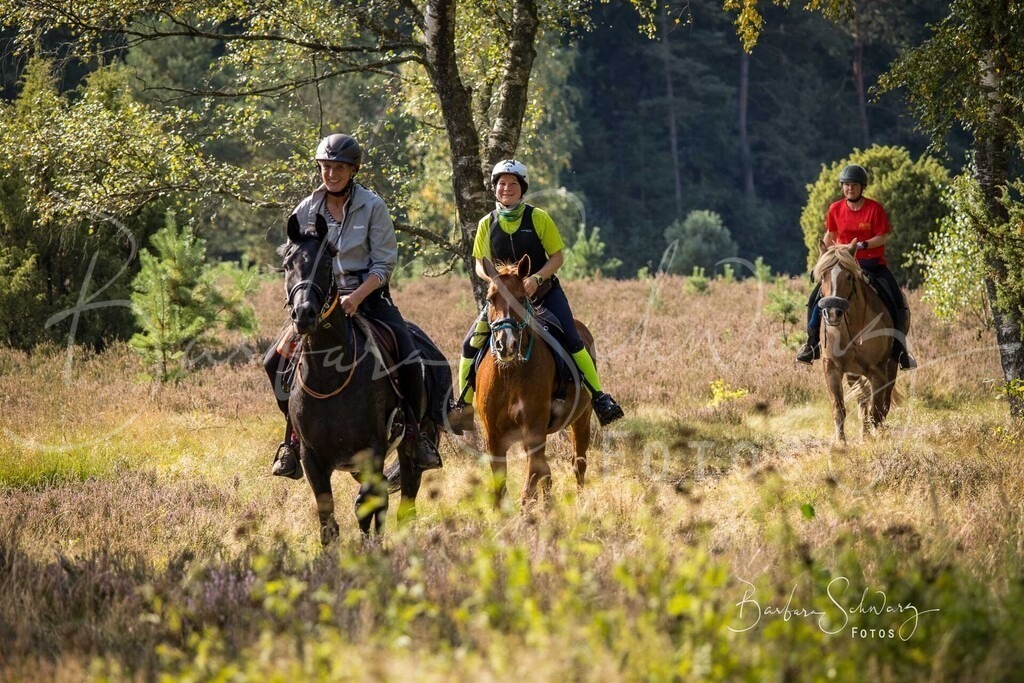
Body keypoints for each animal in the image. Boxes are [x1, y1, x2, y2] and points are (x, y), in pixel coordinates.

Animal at [475, 256, 594, 508]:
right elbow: (502, 489)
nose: (506, 344)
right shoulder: (494, 438)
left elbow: (529, 488)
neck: (510, 375)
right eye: (490, 299)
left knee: (578, 464)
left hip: (582, 418)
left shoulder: (533, 432)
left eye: (521, 298)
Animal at [813, 241, 901, 441]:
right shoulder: (831, 368)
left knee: (883, 403)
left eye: (848, 277)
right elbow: (839, 409)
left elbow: (877, 410)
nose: (832, 313)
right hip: (853, 374)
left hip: (890, 366)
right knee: (863, 401)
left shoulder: (877, 370)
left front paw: (876, 441)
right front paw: (841, 443)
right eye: (822, 276)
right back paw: (864, 433)